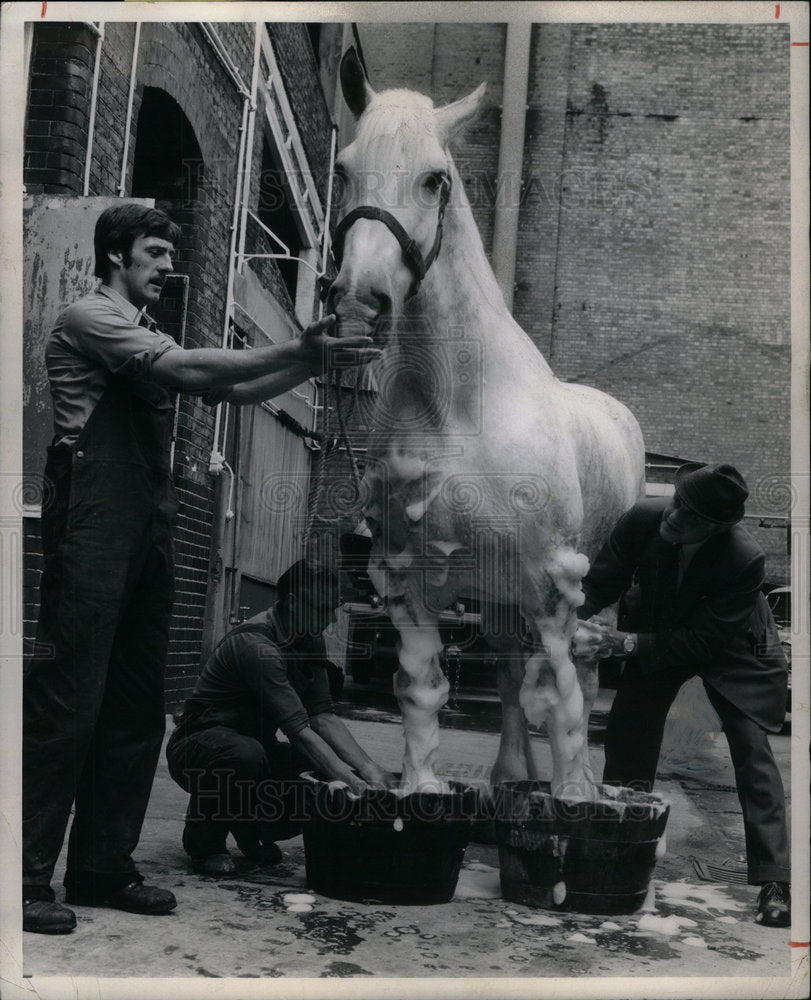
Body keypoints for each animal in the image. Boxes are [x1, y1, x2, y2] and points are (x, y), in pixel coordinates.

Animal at [326, 50, 644, 800]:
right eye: (343, 169)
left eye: (434, 179)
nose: (359, 302)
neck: (459, 408)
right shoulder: (406, 581)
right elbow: (422, 691)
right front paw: (420, 788)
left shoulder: (552, 585)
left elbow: (562, 697)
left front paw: (574, 798)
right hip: (499, 598)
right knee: (503, 669)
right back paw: (509, 776)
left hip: (586, 596)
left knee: (585, 673)